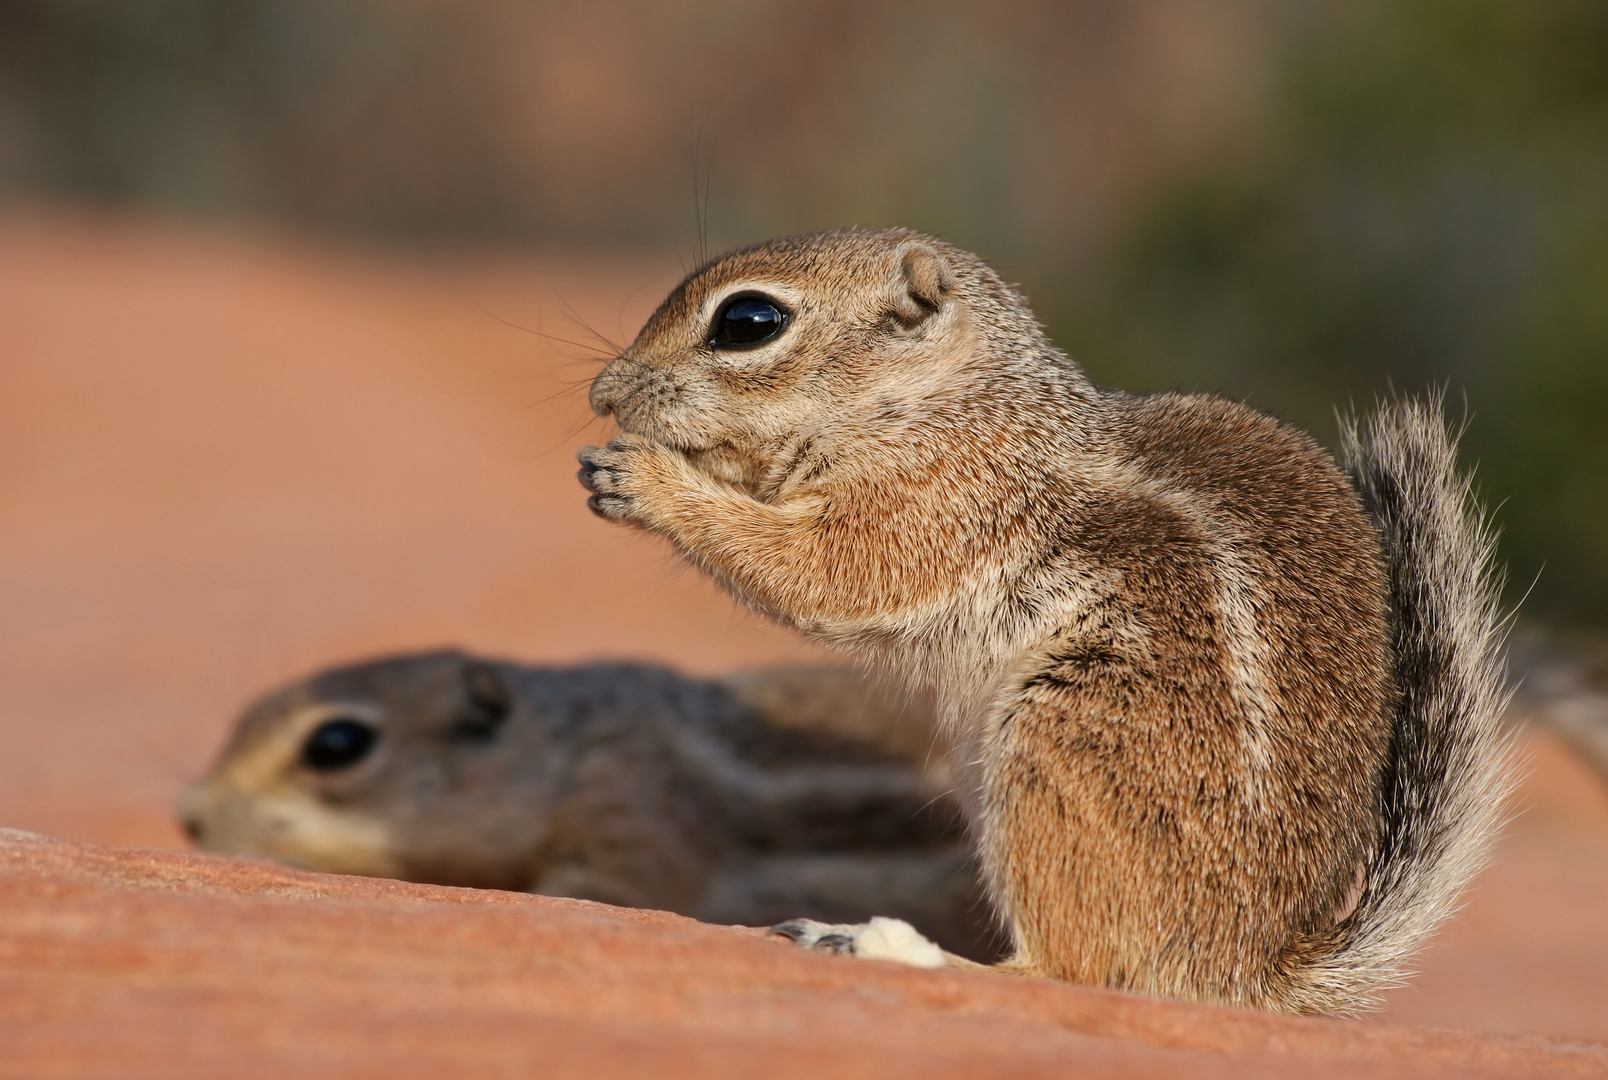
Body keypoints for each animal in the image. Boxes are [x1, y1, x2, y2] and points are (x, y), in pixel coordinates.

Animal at [582, 228, 1517, 1015]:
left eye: (748, 322)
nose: (603, 392)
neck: (948, 400)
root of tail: (1241, 968)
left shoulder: (936, 505)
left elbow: (825, 570)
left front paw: (648, 481)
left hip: (1060, 739)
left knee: (1067, 969)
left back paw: (875, 942)